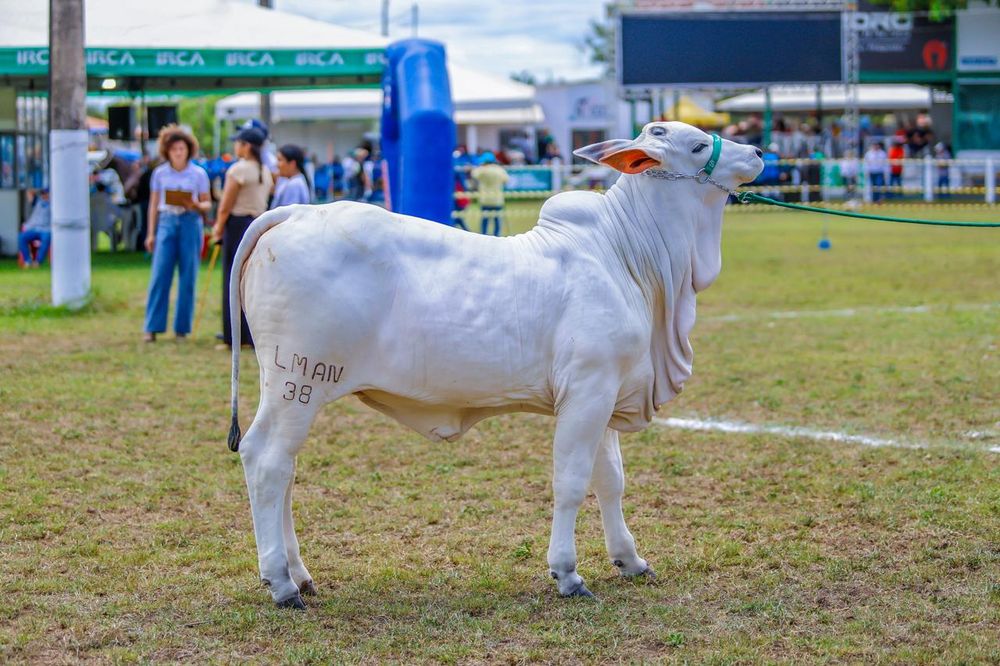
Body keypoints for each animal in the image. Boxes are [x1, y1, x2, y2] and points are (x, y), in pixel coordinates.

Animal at [225, 120, 756, 608]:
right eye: (699, 145)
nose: (756, 153)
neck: (627, 257)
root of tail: (296, 212)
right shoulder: (586, 391)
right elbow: (570, 482)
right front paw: (567, 573)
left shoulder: (607, 393)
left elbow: (611, 482)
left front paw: (630, 560)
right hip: (299, 381)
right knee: (266, 461)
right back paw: (281, 583)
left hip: (290, 388)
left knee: (285, 468)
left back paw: (300, 574)